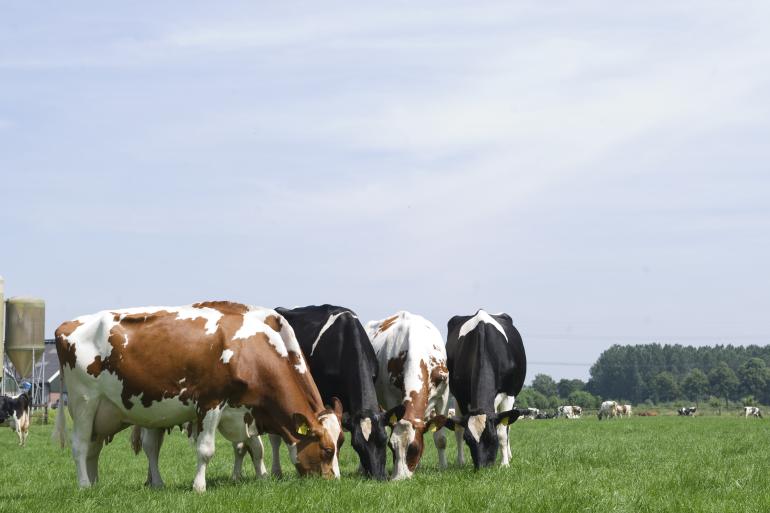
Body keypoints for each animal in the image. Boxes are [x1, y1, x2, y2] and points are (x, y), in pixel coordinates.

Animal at [54, 302, 342, 490]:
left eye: (341, 444)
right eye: (327, 450)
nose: (334, 481)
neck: (249, 351)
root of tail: (67, 325)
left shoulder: (245, 412)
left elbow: (255, 448)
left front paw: (262, 479)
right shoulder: (211, 402)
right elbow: (206, 450)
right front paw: (199, 486)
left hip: (104, 412)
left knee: (95, 448)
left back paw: (102, 483)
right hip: (84, 402)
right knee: (80, 445)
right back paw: (84, 486)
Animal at [366, 312, 450, 480]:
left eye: (414, 449)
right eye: (391, 447)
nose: (399, 479)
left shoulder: (444, 396)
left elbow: (440, 438)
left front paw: (443, 467)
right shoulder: (391, 398)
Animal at [440, 308, 524, 468]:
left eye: (492, 438)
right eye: (469, 440)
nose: (482, 467)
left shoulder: (509, 394)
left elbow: (503, 431)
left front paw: (504, 464)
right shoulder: (461, 397)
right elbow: (461, 428)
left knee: (508, 426)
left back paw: (509, 455)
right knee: (458, 429)